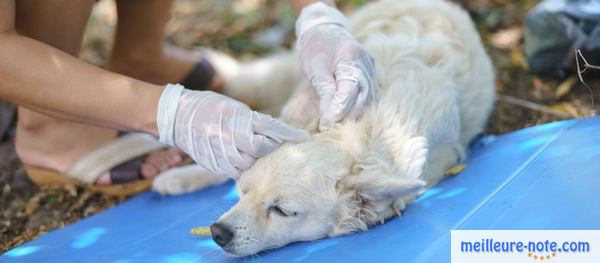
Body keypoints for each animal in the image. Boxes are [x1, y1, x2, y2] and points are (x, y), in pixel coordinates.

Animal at [152, 0, 494, 258]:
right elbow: (228, 154)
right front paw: (185, 174)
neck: (360, 132)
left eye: (282, 211)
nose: (217, 233)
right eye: (243, 191)